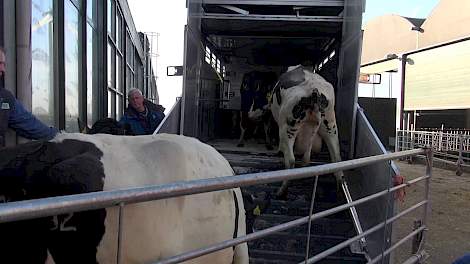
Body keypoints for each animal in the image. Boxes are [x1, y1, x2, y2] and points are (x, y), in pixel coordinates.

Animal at [270, 64, 344, 196]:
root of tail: (313, 89)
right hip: (330, 125)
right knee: (336, 157)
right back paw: (339, 190)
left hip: (287, 127)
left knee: (291, 160)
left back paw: (281, 191)